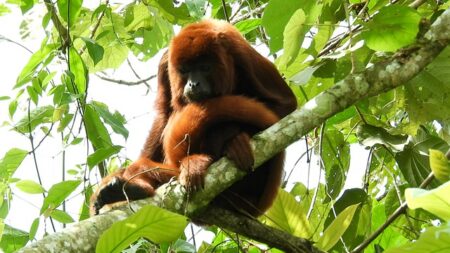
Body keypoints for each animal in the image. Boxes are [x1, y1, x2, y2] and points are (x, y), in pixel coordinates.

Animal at [89, 19, 298, 217]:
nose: (193, 84)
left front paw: (231, 139)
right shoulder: (165, 62)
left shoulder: (241, 53)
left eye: (205, 67)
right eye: (184, 70)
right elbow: (163, 115)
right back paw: (128, 189)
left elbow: (285, 106)